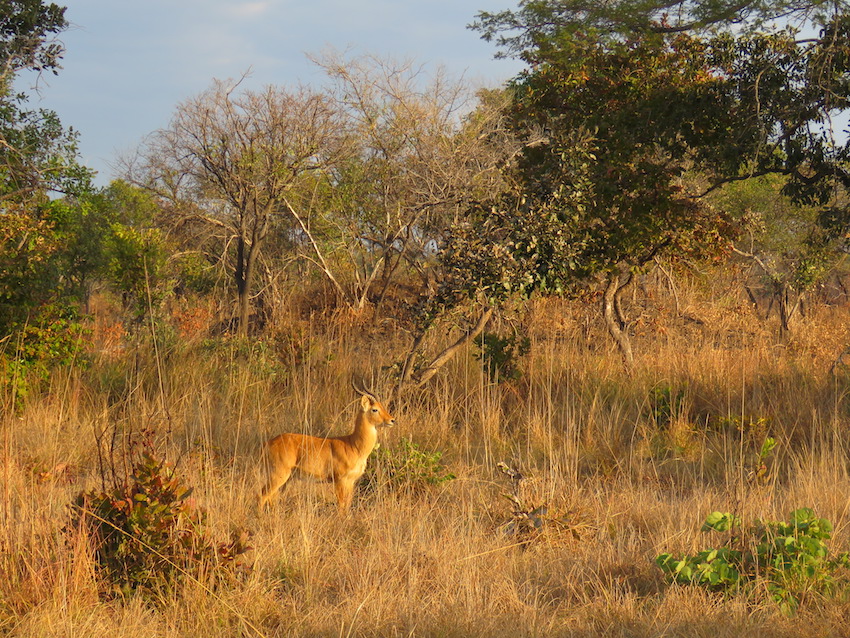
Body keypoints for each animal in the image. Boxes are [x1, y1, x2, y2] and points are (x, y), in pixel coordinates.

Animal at [255, 384, 394, 516]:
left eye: (382, 406)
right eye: (374, 409)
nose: (392, 420)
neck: (353, 445)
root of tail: (267, 443)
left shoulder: (351, 482)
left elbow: (347, 505)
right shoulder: (340, 480)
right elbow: (341, 506)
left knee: (271, 497)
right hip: (278, 475)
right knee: (262, 495)